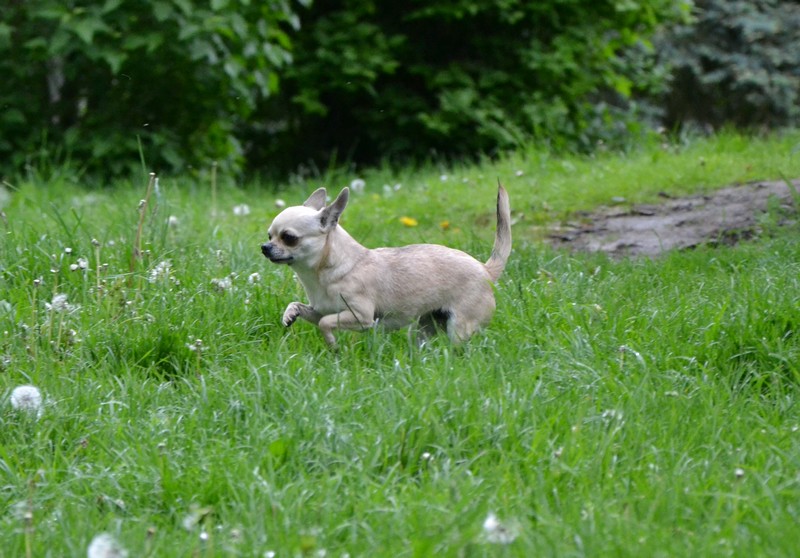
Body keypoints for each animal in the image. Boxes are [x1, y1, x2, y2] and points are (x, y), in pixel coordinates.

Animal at [262, 186, 512, 348]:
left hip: (460, 327)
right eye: (269, 235)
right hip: (422, 327)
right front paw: (290, 314)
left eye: (289, 238)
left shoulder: (361, 318)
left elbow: (325, 324)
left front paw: (332, 344)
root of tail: (486, 270)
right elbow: (303, 308)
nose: (264, 247)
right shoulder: (321, 309)